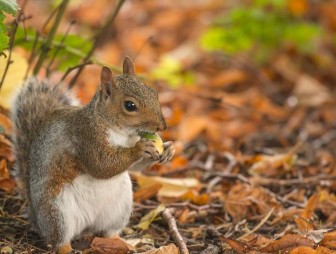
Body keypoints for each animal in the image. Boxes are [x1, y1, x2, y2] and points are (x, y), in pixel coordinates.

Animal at [10, 56, 176, 253]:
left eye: (154, 93)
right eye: (130, 105)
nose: (162, 127)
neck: (119, 131)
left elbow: (135, 167)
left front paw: (168, 149)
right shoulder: (86, 137)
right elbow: (101, 165)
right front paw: (140, 148)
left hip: (119, 209)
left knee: (109, 232)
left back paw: (124, 243)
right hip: (57, 212)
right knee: (59, 240)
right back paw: (67, 248)